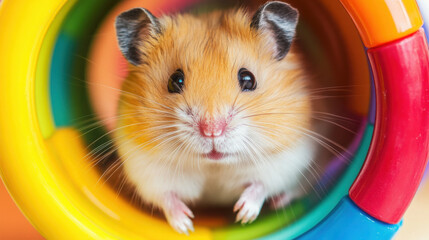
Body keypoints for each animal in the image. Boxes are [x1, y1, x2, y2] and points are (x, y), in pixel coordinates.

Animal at [113, 1, 314, 234]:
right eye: (175, 81)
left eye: (248, 79)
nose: (212, 131)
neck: (214, 166)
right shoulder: (145, 168)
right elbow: (166, 196)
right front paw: (186, 225)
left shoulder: (286, 160)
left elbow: (261, 185)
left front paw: (243, 215)